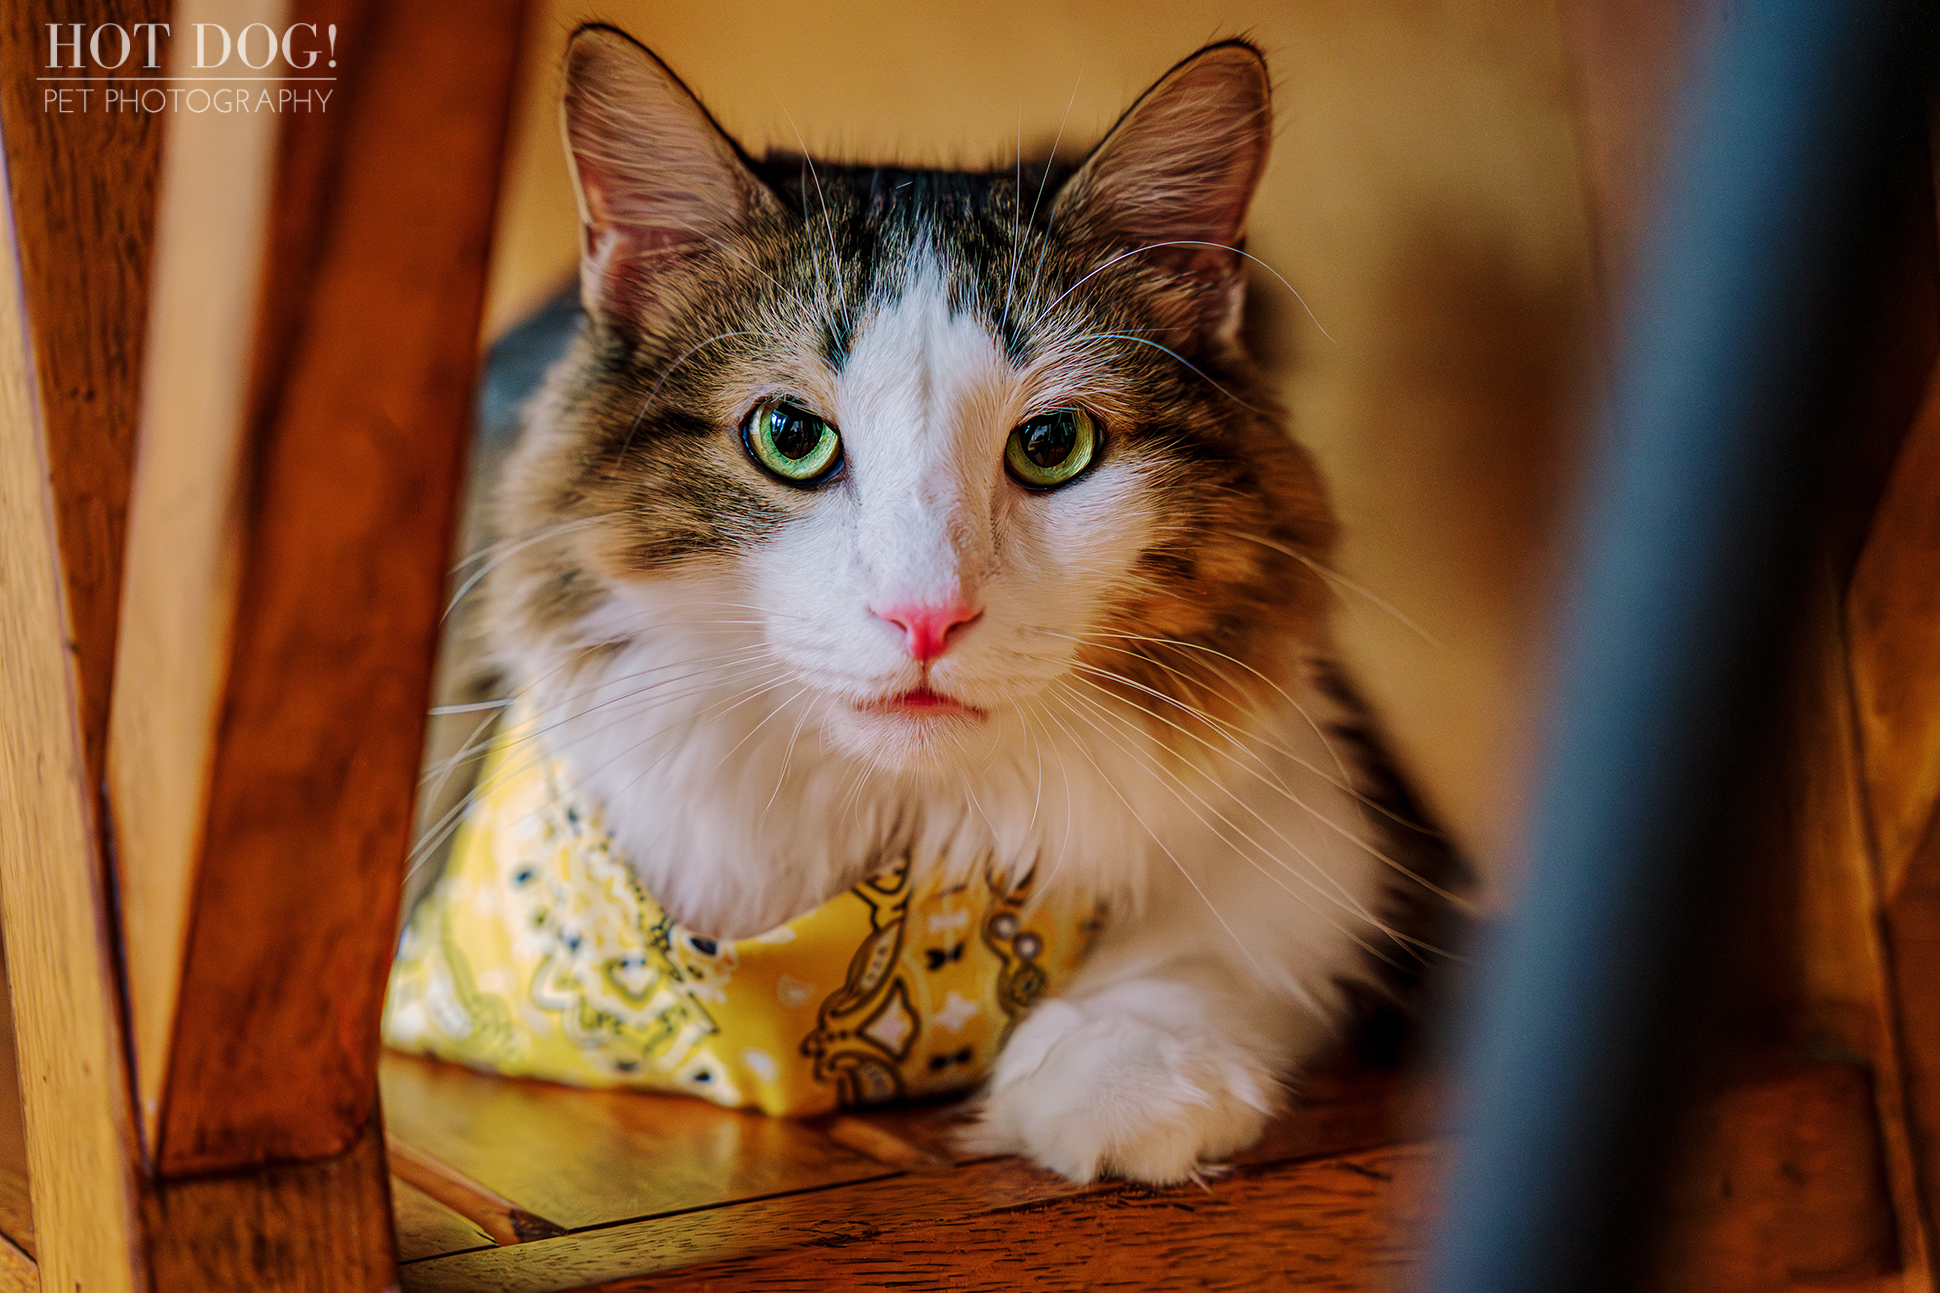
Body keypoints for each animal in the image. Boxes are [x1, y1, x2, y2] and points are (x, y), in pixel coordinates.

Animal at [477, 25, 1458, 1180]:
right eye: (789, 437)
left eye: (1053, 445)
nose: (925, 617)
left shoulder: (1315, 839)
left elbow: (1210, 952)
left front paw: (1120, 1082)